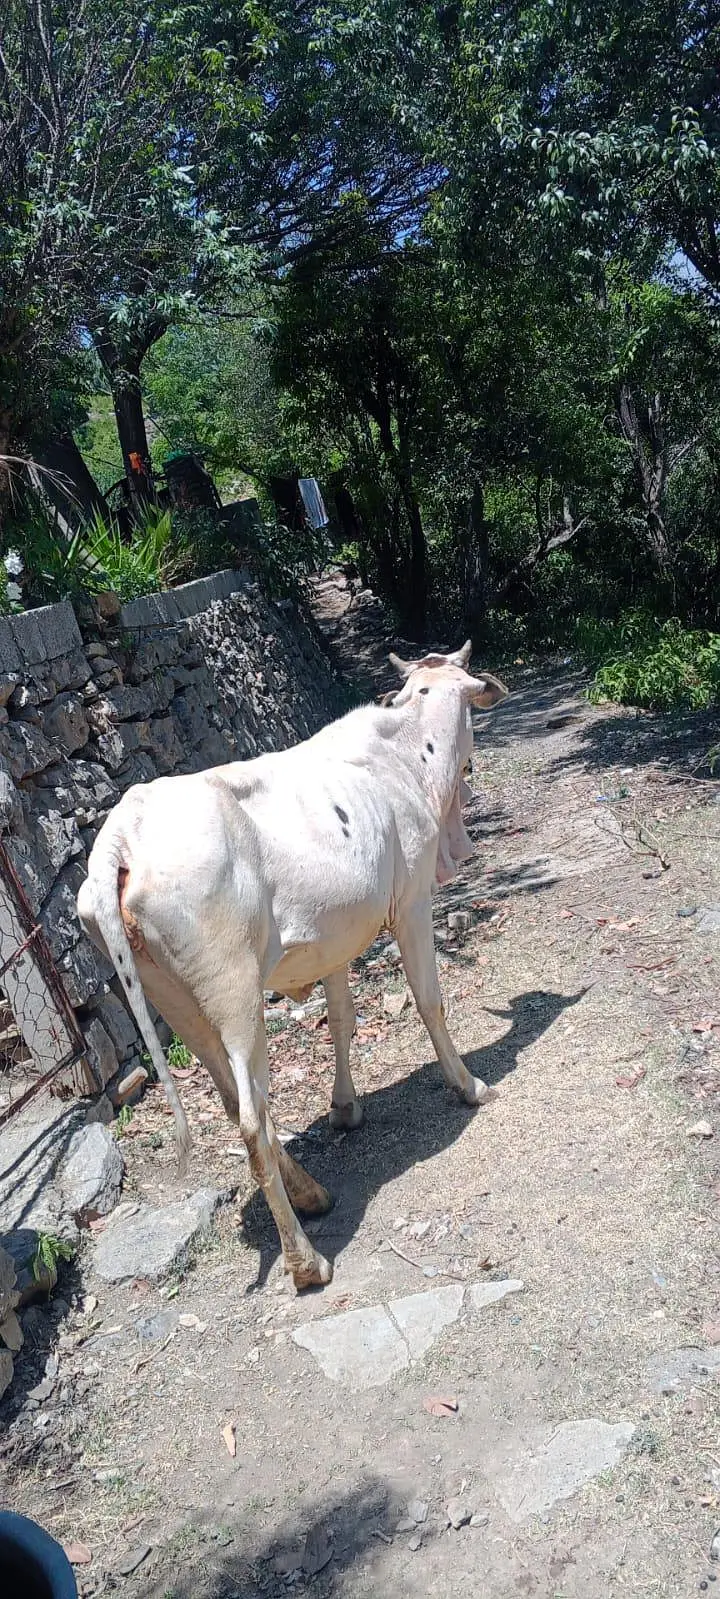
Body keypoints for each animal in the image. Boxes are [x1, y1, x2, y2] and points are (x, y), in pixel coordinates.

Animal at [77, 642, 508, 1291]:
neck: (406, 754)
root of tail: (124, 832)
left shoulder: (335, 938)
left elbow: (342, 1020)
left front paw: (345, 1108)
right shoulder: (411, 902)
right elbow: (430, 1000)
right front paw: (469, 1085)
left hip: (173, 1001)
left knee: (235, 1100)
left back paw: (311, 1194)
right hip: (235, 994)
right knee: (252, 1118)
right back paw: (306, 1261)